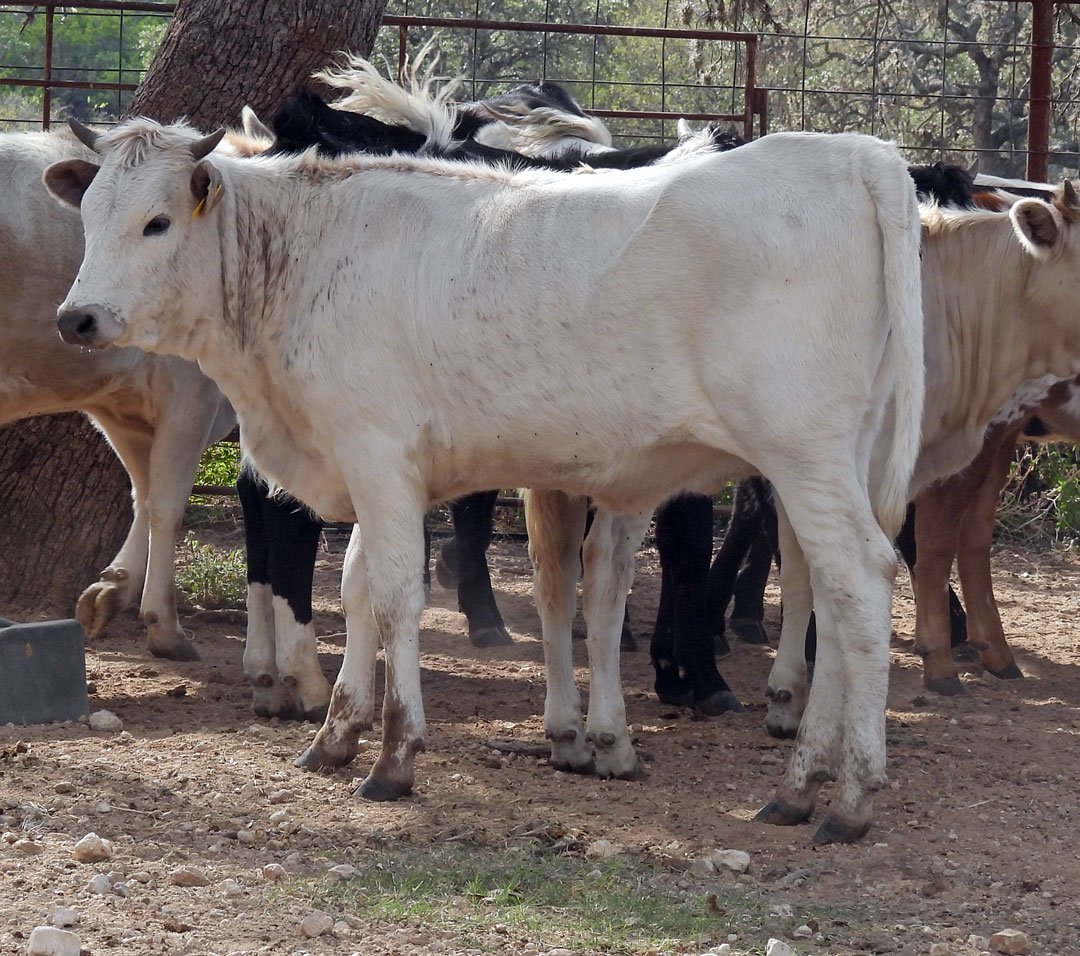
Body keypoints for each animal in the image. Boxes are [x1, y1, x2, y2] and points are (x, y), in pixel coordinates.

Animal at [0, 126, 250, 661]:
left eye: (157, 223)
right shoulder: (191, 400)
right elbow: (168, 504)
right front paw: (164, 624)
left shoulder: (119, 405)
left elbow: (144, 494)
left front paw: (111, 590)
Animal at [42, 115, 920, 838]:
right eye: (88, 217)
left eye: (155, 222)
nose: (75, 319)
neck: (306, 257)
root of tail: (853, 153)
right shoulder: (374, 468)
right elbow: (356, 588)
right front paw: (338, 732)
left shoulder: (376, 451)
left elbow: (394, 593)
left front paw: (394, 756)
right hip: (839, 458)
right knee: (830, 594)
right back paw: (803, 783)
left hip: (801, 451)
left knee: (861, 582)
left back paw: (846, 797)